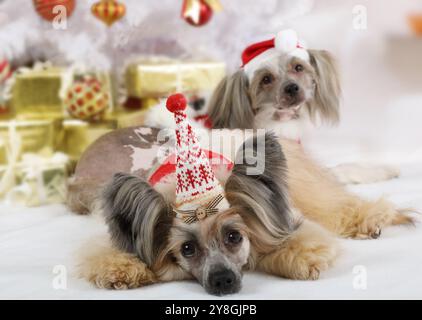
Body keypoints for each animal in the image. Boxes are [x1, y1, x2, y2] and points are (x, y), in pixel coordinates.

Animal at [70, 93, 412, 296]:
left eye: (234, 237)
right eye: (187, 250)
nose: (222, 280)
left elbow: (297, 243)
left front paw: (297, 259)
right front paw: (122, 268)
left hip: (305, 186)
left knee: (336, 205)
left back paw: (370, 218)